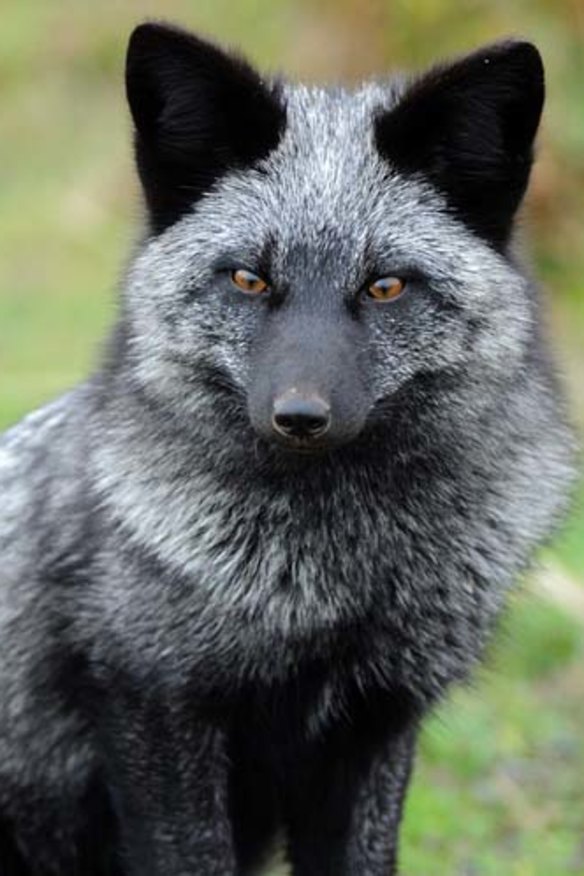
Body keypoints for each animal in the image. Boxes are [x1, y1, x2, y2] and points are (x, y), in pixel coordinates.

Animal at [0, 20, 576, 876]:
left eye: (385, 286)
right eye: (248, 280)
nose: (299, 415)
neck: (332, 582)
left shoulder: (375, 723)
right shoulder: (154, 704)